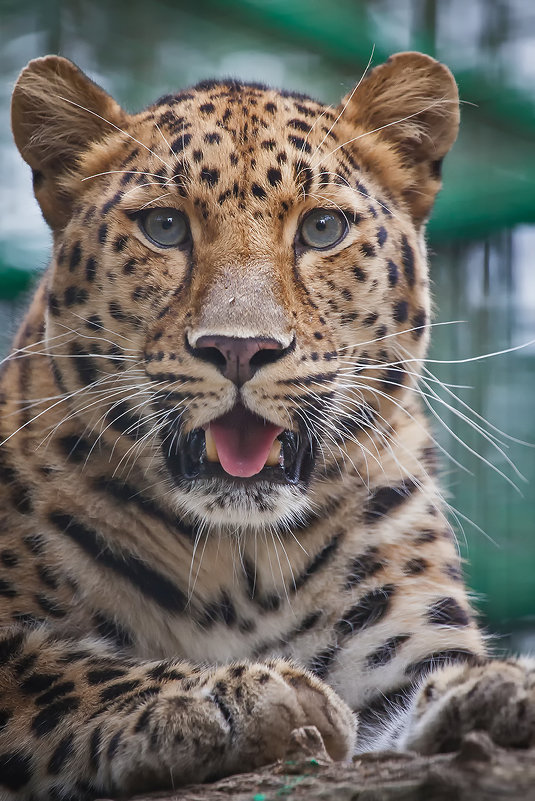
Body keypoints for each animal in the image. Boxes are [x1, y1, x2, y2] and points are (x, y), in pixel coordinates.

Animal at [2, 51, 532, 800]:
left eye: (322, 230)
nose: (239, 348)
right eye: (165, 228)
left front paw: (489, 688)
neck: (238, 562)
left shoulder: (399, 643)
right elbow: (57, 671)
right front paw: (231, 698)